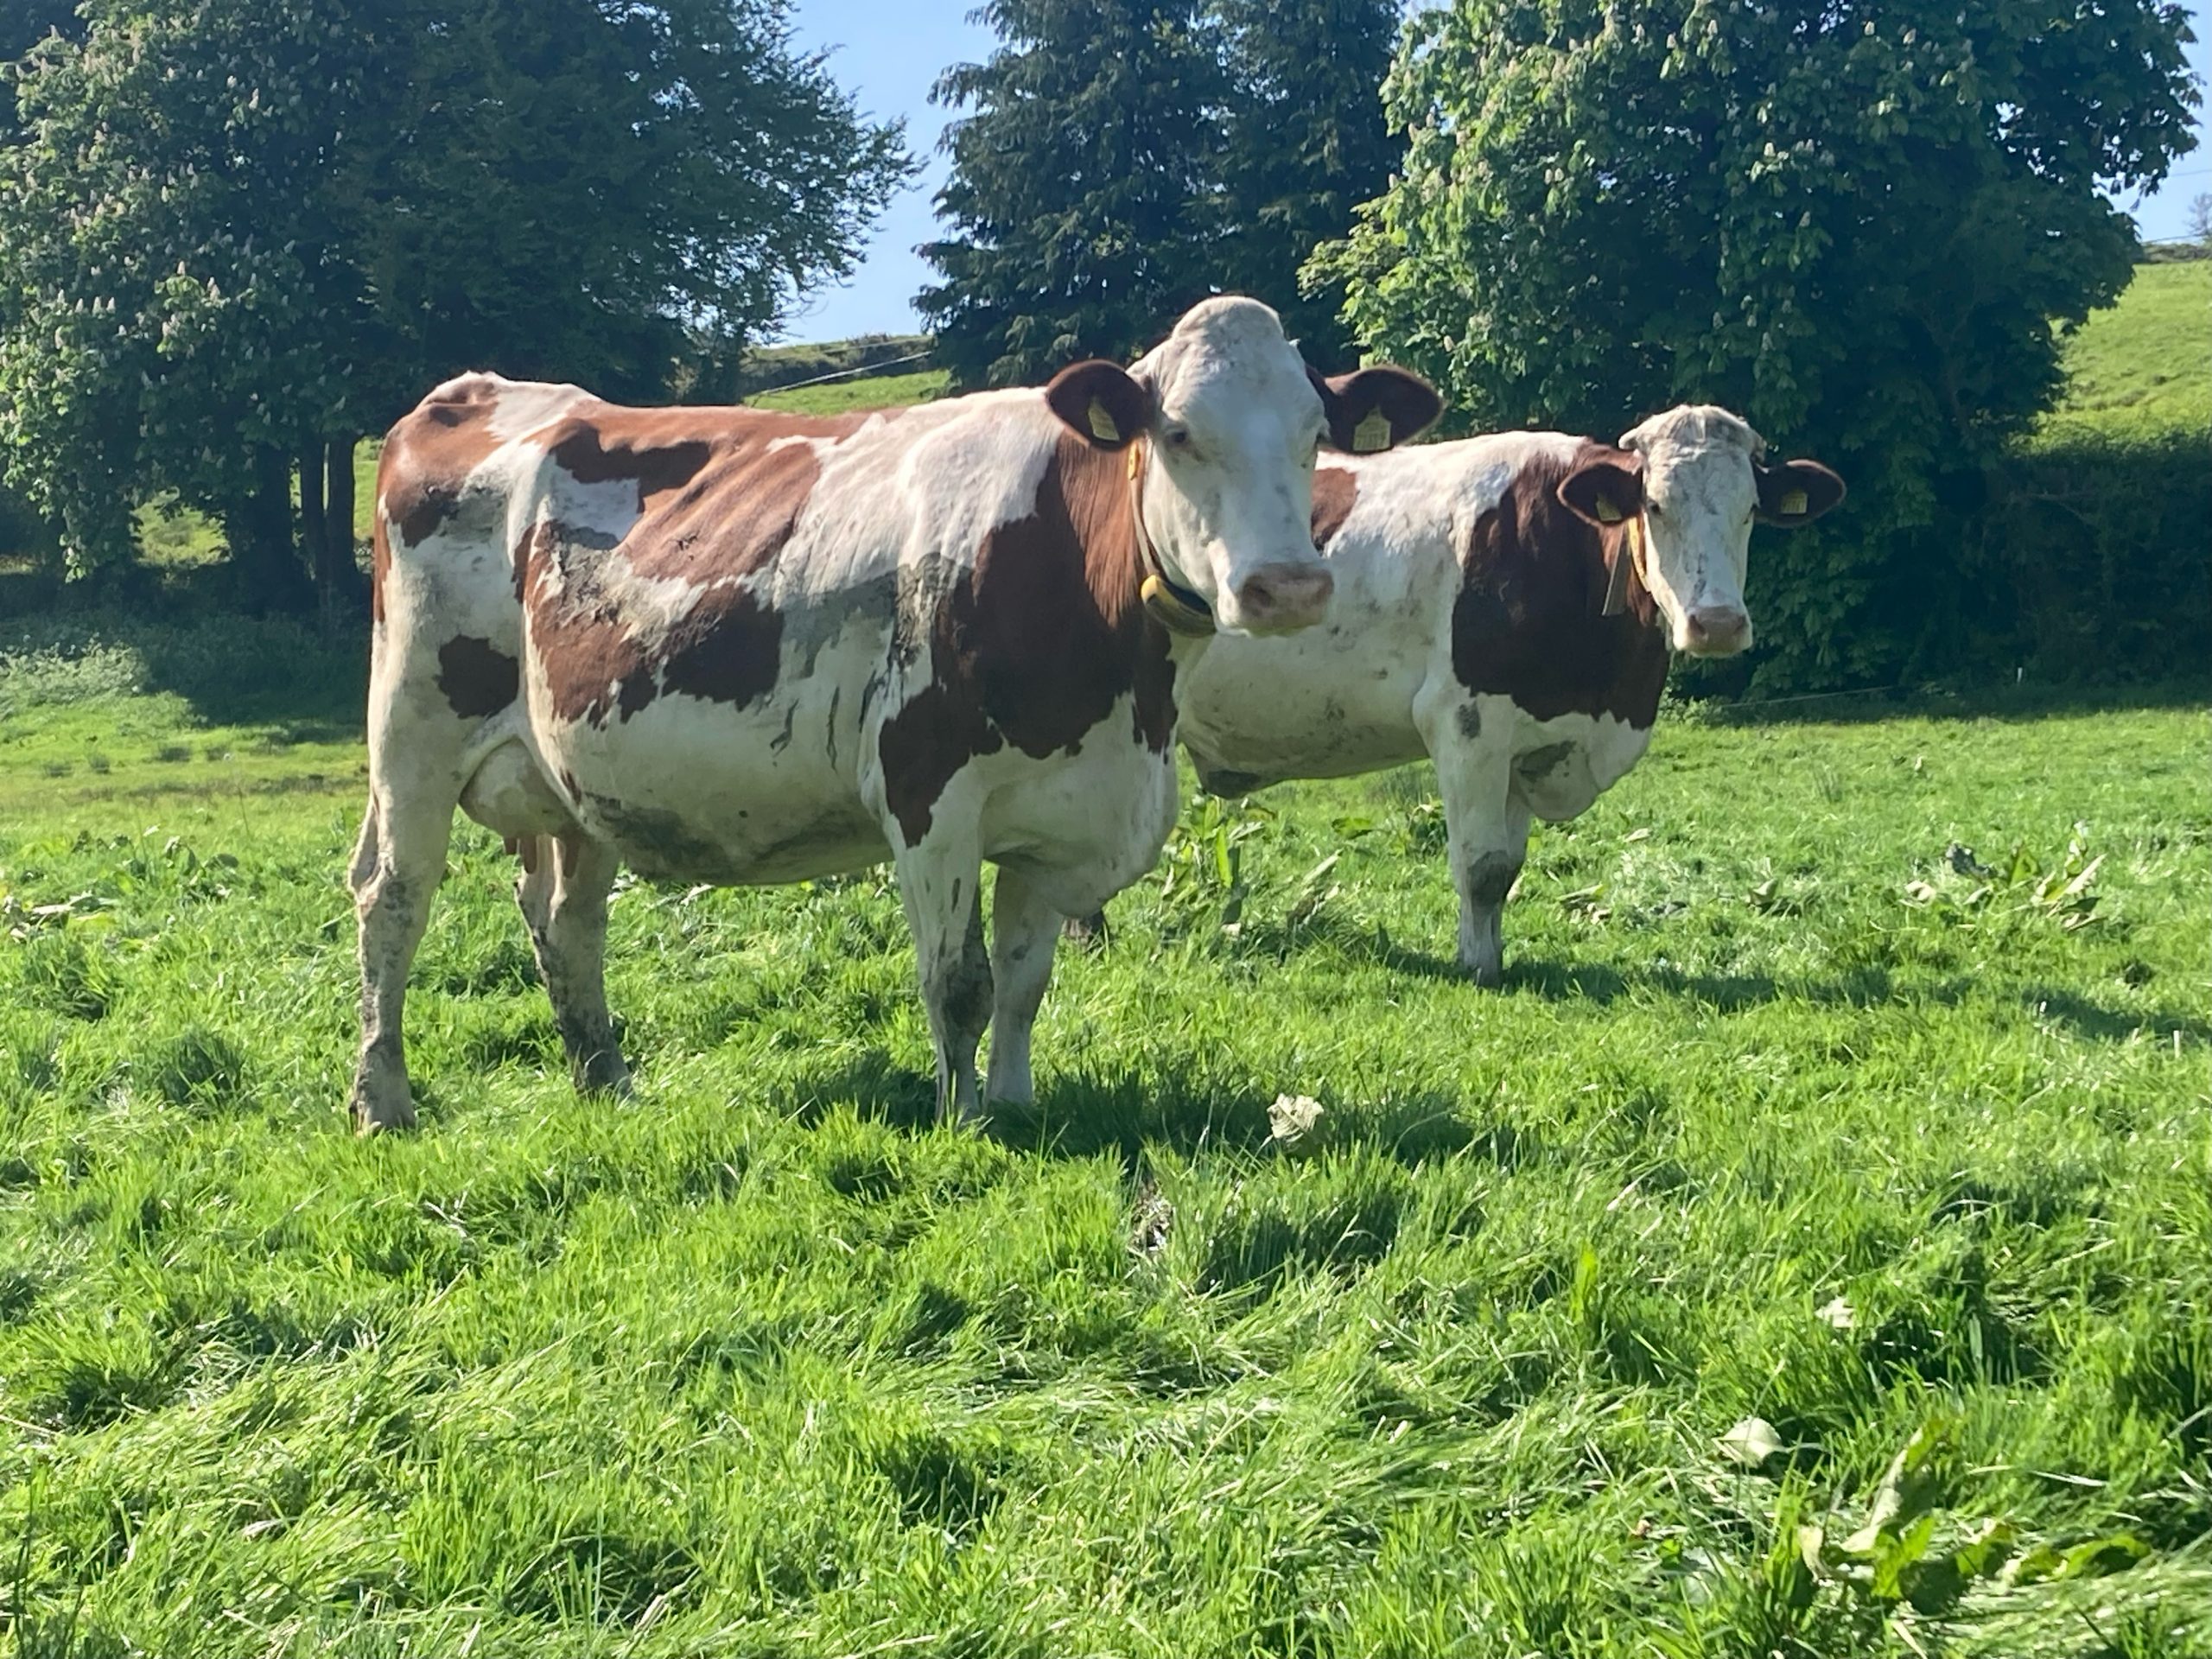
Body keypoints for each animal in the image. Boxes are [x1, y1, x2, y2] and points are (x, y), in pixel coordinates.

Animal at [348, 297, 1440, 1133]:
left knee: (566, 920)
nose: (1286, 586)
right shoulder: (928, 792)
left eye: (1314, 437)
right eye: (1177, 435)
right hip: (411, 732)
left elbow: (1023, 980)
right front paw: (964, 1126)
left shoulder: (1064, 814)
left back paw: (604, 1079)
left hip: (570, 777)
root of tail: (483, 391)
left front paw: (1014, 1106)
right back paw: (383, 1099)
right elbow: (958, 982)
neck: (1121, 698)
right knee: (393, 901)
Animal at [1068, 406, 1843, 982]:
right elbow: (1482, 865)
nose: (1717, 623)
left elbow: (1509, 866)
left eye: (1750, 510)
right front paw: (1478, 967)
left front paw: (1494, 954)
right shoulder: (1468, 723)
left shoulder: (1531, 742)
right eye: (1654, 505)